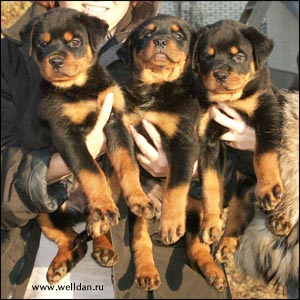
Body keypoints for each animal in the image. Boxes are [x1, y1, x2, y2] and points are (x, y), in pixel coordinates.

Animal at [107, 14, 199, 290]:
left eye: (179, 35)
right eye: (146, 34)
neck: (155, 89)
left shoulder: (184, 141)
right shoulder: (122, 128)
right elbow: (127, 164)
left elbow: (176, 184)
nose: (160, 41)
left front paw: (171, 224)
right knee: (140, 238)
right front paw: (134, 193)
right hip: (140, 215)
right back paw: (146, 272)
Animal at [191, 19, 282, 253]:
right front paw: (210, 224)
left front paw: (269, 189)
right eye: (207, 56)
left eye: (239, 56)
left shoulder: (267, 113)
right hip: (240, 187)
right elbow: (210, 185)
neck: (230, 100)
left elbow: (263, 154)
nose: (220, 74)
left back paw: (282, 220)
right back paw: (226, 245)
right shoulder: (208, 141)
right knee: (240, 212)